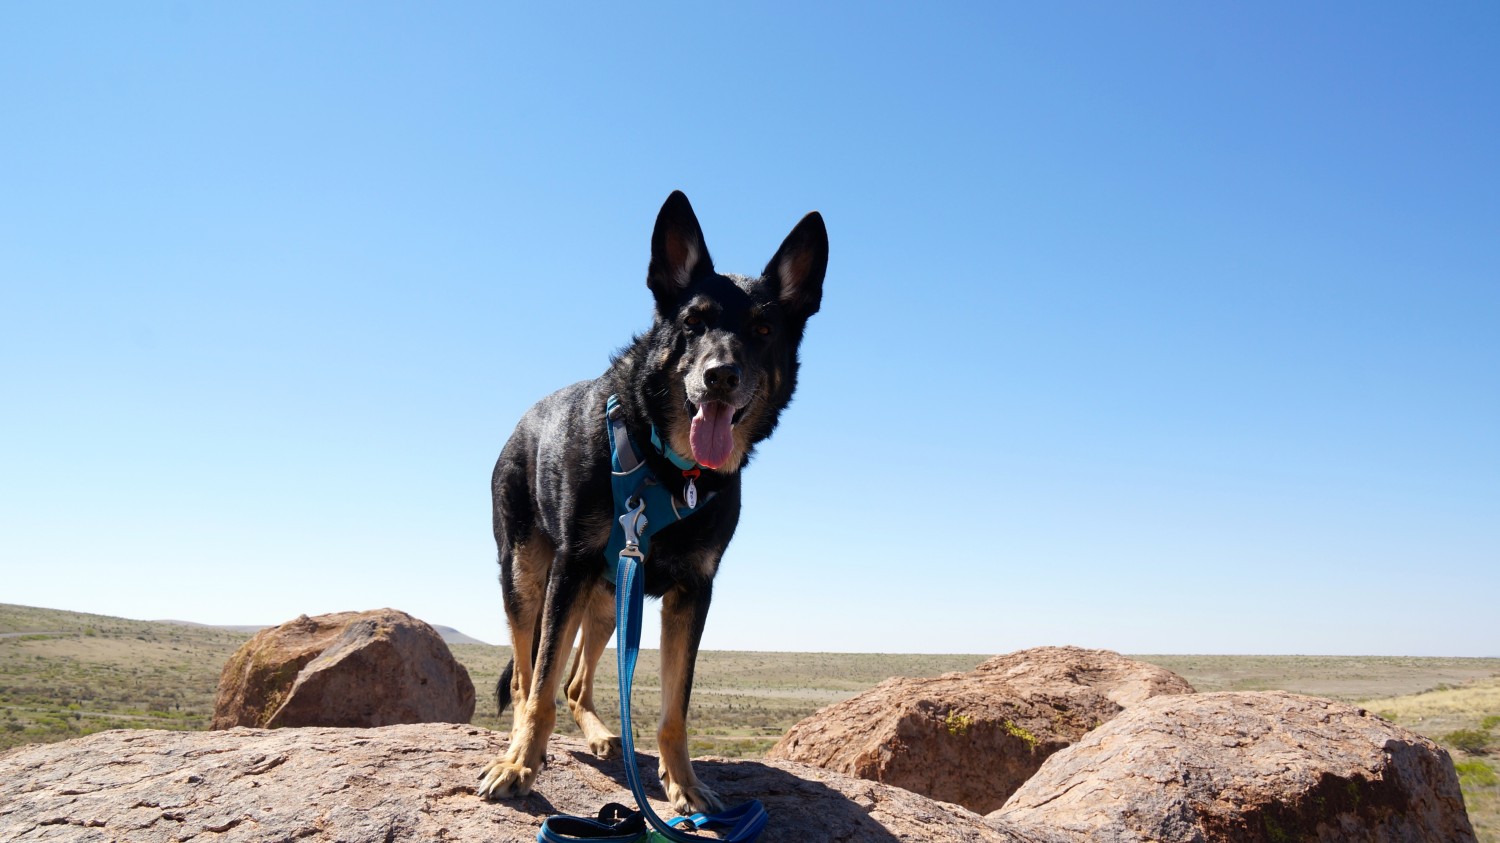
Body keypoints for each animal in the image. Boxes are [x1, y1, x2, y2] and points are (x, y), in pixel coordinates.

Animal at [480, 190, 828, 810]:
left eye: (763, 327)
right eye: (693, 322)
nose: (721, 375)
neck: (669, 466)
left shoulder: (693, 590)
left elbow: (674, 709)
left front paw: (683, 784)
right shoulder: (570, 568)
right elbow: (540, 688)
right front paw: (519, 764)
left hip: (609, 596)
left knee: (577, 681)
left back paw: (599, 734)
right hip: (528, 574)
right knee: (526, 676)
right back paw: (524, 741)